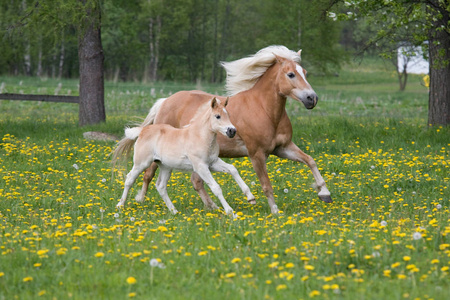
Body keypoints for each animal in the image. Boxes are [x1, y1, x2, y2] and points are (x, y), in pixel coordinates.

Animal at [111, 97, 255, 214]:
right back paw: (120, 205)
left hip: (165, 167)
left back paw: (174, 211)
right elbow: (216, 187)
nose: (232, 131)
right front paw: (230, 212)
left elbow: (232, 169)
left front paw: (251, 198)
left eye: (228, 115)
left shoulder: (212, 163)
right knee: (129, 179)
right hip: (141, 163)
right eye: (218, 116)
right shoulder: (200, 166)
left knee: (161, 186)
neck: (199, 136)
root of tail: (143, 130)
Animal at [136, 44, 330, 214]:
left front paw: (324, 193)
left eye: (305, 73)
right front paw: (274, 211)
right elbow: (266, 185)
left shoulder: (283, 148)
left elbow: (310, 160)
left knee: (196, 181)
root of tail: (164, 102)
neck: (263, 109)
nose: (312, 98)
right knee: (148, 175)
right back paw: (140, 200)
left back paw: (212, 207)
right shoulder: (257, 154)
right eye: (290, 74)